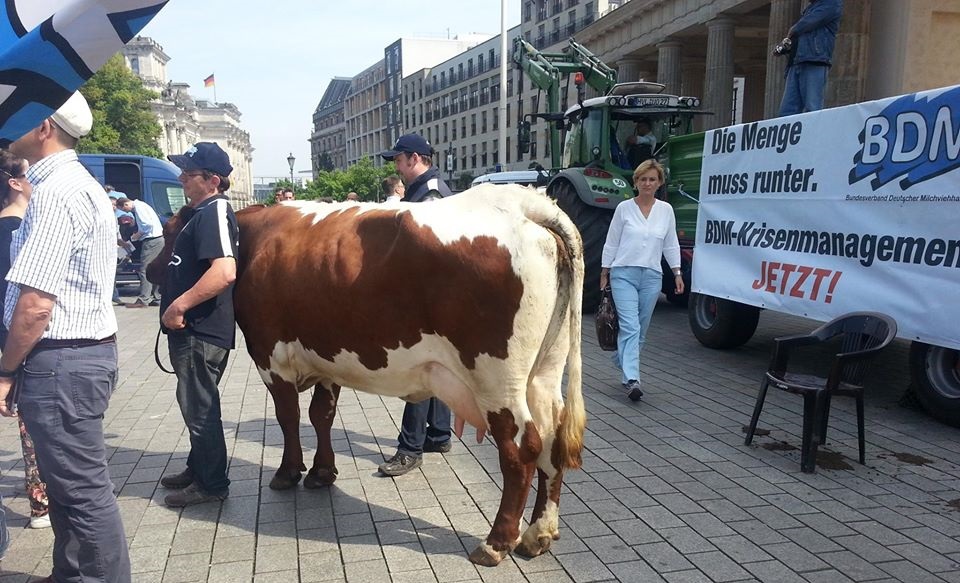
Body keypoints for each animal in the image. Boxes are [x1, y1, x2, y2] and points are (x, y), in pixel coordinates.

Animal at [151, 186, 584, 564]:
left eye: (173, 232)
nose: (150, 268)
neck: (255, 240)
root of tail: (523, 202)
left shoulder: (270, 357)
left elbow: (289, 417)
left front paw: (289, 472)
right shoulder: (326, 361)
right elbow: (321, 416)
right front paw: (322, 472)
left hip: (497, 381)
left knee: (521, 449)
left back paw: (496, 543)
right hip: (544, 373)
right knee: (551, 442)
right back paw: (538, 534)